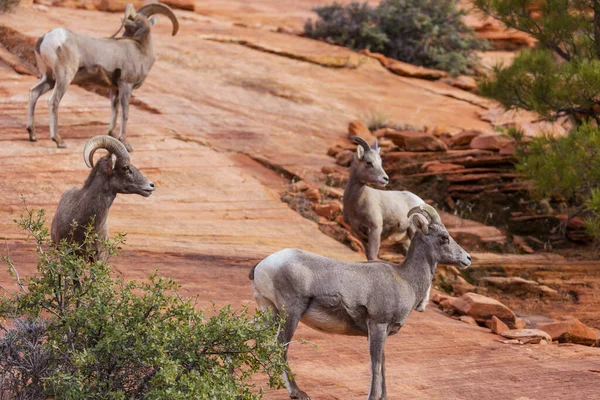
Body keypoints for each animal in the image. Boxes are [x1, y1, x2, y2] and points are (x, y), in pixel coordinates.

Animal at [27, 2, 178, 150]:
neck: (142, 51)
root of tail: (46, 38)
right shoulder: (126, 85)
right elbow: (125, 113)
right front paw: (126, 143)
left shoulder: (115, 89)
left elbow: (114, 110)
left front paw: (112, 135)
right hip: (64, 77)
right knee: (53, 101)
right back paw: (59, 141)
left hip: (49, 79)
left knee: (34, 93)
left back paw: (32, 135)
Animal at [251, 205, 472, 398]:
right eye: (444, 238)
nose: (468, 258)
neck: (406, 280)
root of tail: (262, 265)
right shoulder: (377, 325)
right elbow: (375, 366)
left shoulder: (383, 332)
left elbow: (383, 365)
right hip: (290, 313)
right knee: (281, 348)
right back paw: (298, 393)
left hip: (269, 313)